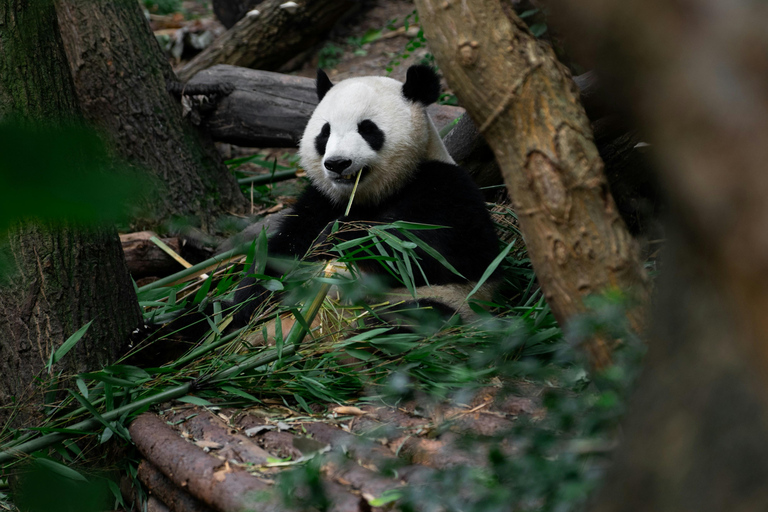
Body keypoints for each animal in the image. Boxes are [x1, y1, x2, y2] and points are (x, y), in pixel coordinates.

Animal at [230, 65, 500, 329]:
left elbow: (437, 253)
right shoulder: (321, 200)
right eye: (325, 132)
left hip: (446, 302)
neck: (370, 195)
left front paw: (338, 237)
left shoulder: (444, 186)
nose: (338, 163)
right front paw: (243, 305)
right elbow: (281, 252)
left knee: (421, 315)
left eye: (367, 129)